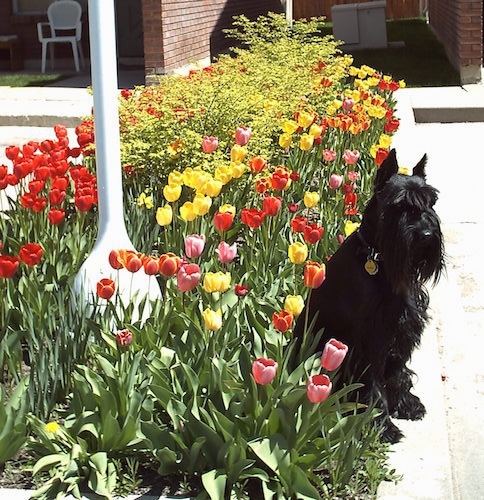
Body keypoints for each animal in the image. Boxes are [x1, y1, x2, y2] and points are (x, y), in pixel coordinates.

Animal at [294, 148, 444, 442]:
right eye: (399, 205)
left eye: (431, 202)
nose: (426, 234)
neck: (379, 260)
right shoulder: (369, 340)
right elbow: (372, 383)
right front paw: (381, 424)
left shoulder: (402, 330)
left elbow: (397, 372)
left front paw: (405, 404)